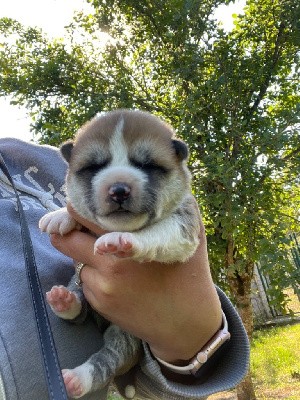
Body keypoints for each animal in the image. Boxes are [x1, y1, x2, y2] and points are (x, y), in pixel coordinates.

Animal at [38, 108, 200, 398]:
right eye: (93, 167)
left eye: (147, 166)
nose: (119, 189)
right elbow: (77, 213)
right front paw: (59, 216)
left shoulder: (184, 225)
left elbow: (158, 231)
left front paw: (123, 239)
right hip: (81, 289)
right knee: (80, 310)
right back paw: (64, 301)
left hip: (125, 339)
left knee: (106, 362)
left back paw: (78, 379)